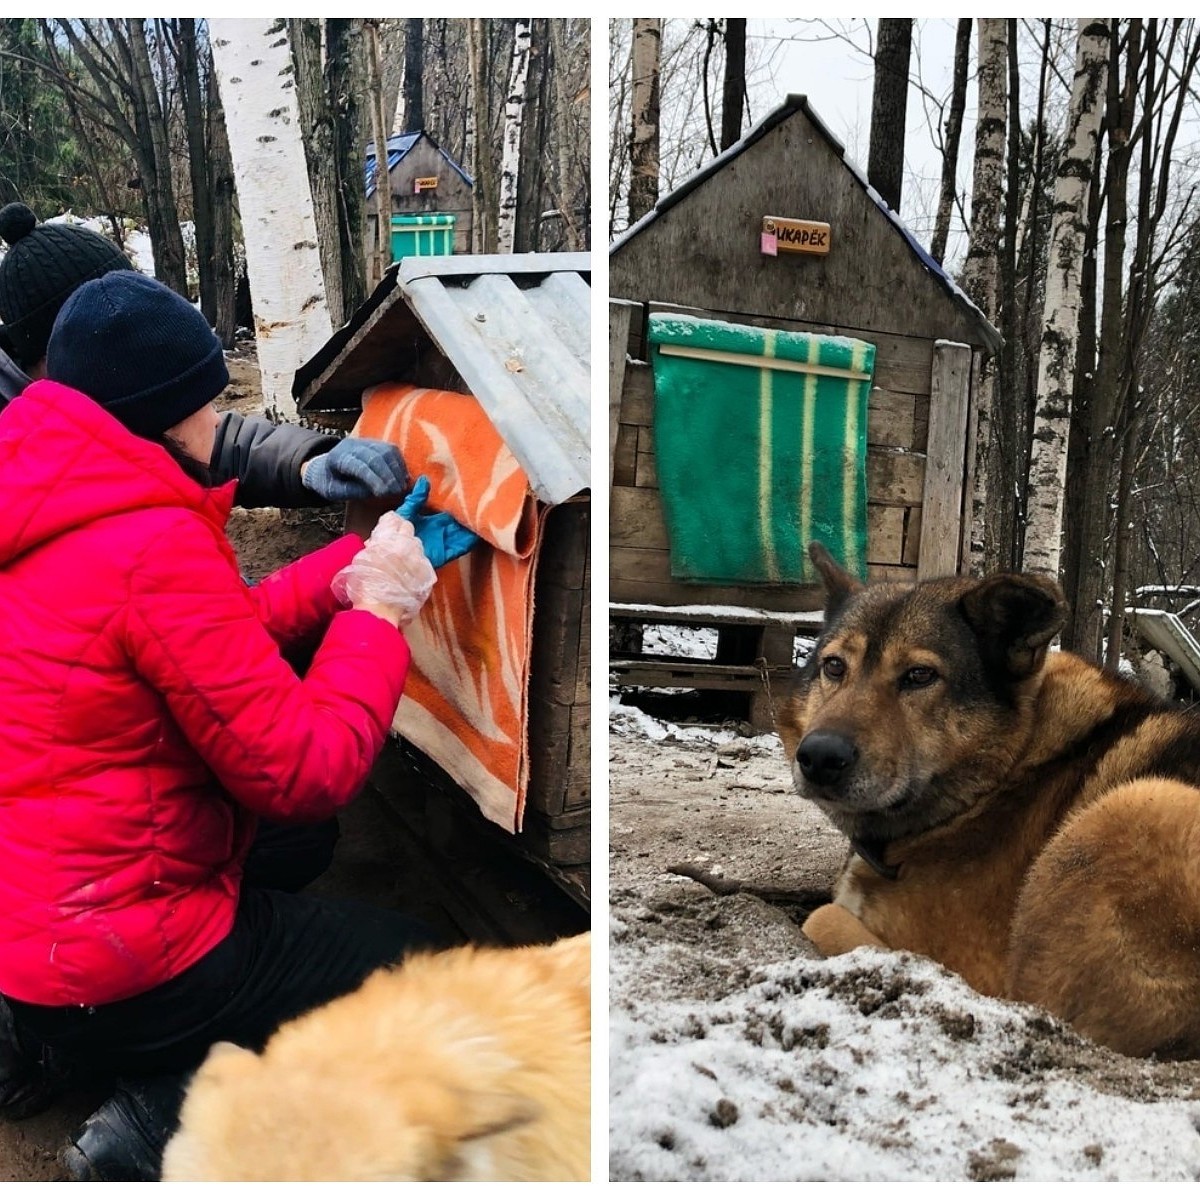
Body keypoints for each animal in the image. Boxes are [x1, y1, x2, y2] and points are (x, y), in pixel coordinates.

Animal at [772, 544, 1200, 1060]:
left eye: (919, 676)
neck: (1003, 772)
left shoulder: (964, 959)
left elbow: (825, 916)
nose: (818, 757)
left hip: (1135, 807)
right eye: (834, 666)